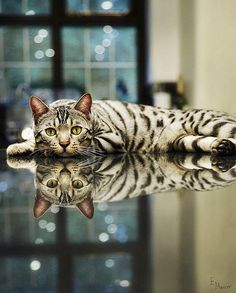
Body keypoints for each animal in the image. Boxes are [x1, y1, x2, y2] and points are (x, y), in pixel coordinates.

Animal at [6, 93, 236, 157]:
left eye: (76, 130)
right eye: (51, 131)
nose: (63, 144)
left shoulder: (110, 138)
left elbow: (85, 145)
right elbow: (32, 140)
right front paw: (20, 146)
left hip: (212, 123)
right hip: (186, 141)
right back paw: (221, 146)